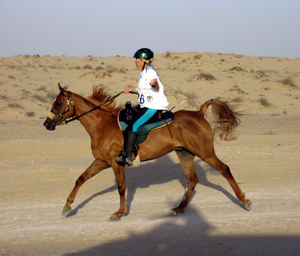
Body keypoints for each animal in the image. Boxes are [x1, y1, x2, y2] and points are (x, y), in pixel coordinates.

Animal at [43, 83, 252, 220]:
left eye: (58, 103)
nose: (46, 123)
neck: (102, 124)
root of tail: (199, 112)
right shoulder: (101, 162)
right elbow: (81, 178)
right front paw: (67, 206)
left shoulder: (115, 163)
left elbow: (121, 188)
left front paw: (119, 213)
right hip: (184, 153)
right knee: (192, 180)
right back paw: (179, 209)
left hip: (205, 152)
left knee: (224, 169)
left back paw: (244, 201)